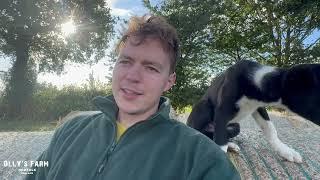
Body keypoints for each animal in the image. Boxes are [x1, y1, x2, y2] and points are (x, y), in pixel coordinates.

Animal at [188, 60, 320, 163]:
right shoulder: (222, 111)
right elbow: (220, 143)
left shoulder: (259, 107)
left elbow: (270, 129)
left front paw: (285, 151)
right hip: (204, 107)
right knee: (202, 134)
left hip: (235, 127)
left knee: (213, 136)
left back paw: (231, 145)